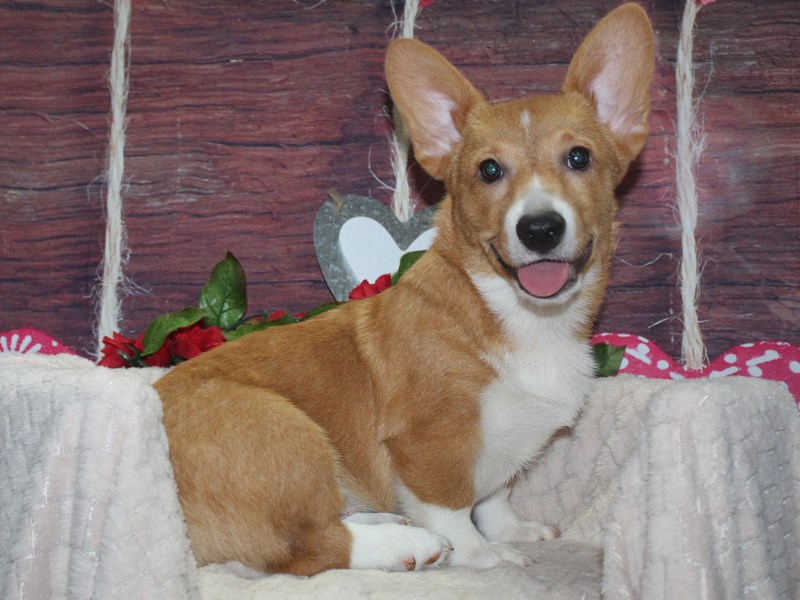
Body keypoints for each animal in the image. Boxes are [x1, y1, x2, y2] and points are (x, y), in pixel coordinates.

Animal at [155, 2, 654, 575]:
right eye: (489, 170)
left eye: (578, 158)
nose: (540, 228)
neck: (518, 317)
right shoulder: (429, 441)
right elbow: (453, 507)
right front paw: (484, 555)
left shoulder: (507, 452)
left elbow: (496, 496)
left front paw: (514, 530)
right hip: (286, 427)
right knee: (308, 547)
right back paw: (402, 544)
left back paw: (382, 519)